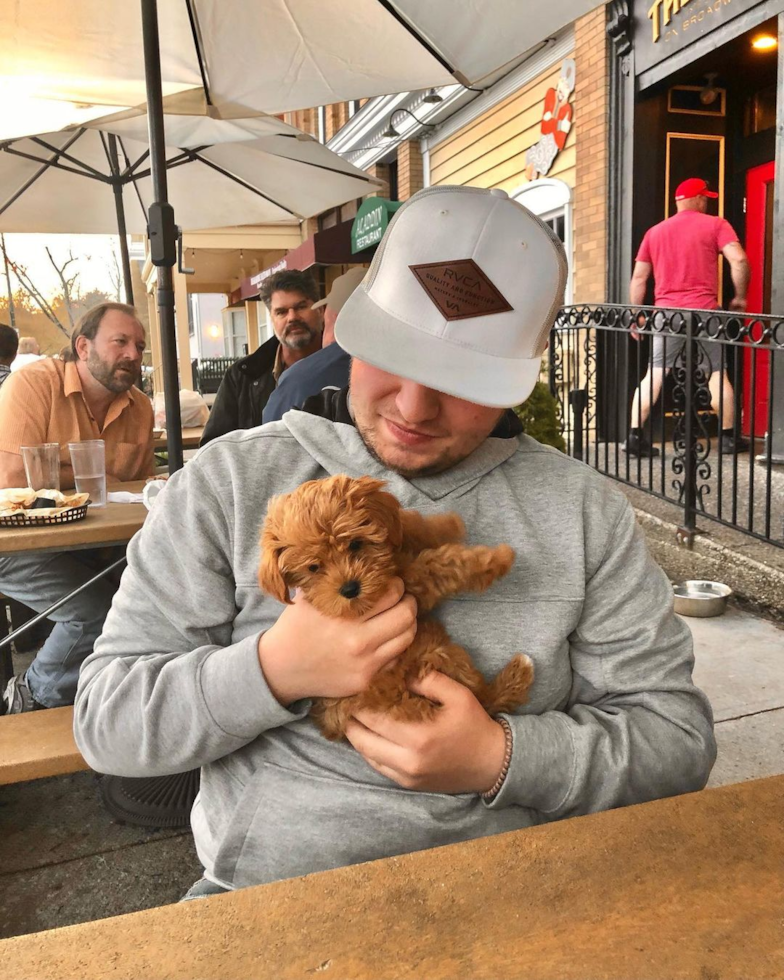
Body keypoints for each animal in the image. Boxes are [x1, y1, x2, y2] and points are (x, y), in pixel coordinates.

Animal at [258, 470, 532, 740]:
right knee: (484, 701)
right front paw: (494, 560)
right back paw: (519, 672)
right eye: (314, 568)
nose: (350, 589)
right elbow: (439, 565)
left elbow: (411, 526)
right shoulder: (414, 585)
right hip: (436, 660)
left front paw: (447, 523)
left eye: (355, 544)